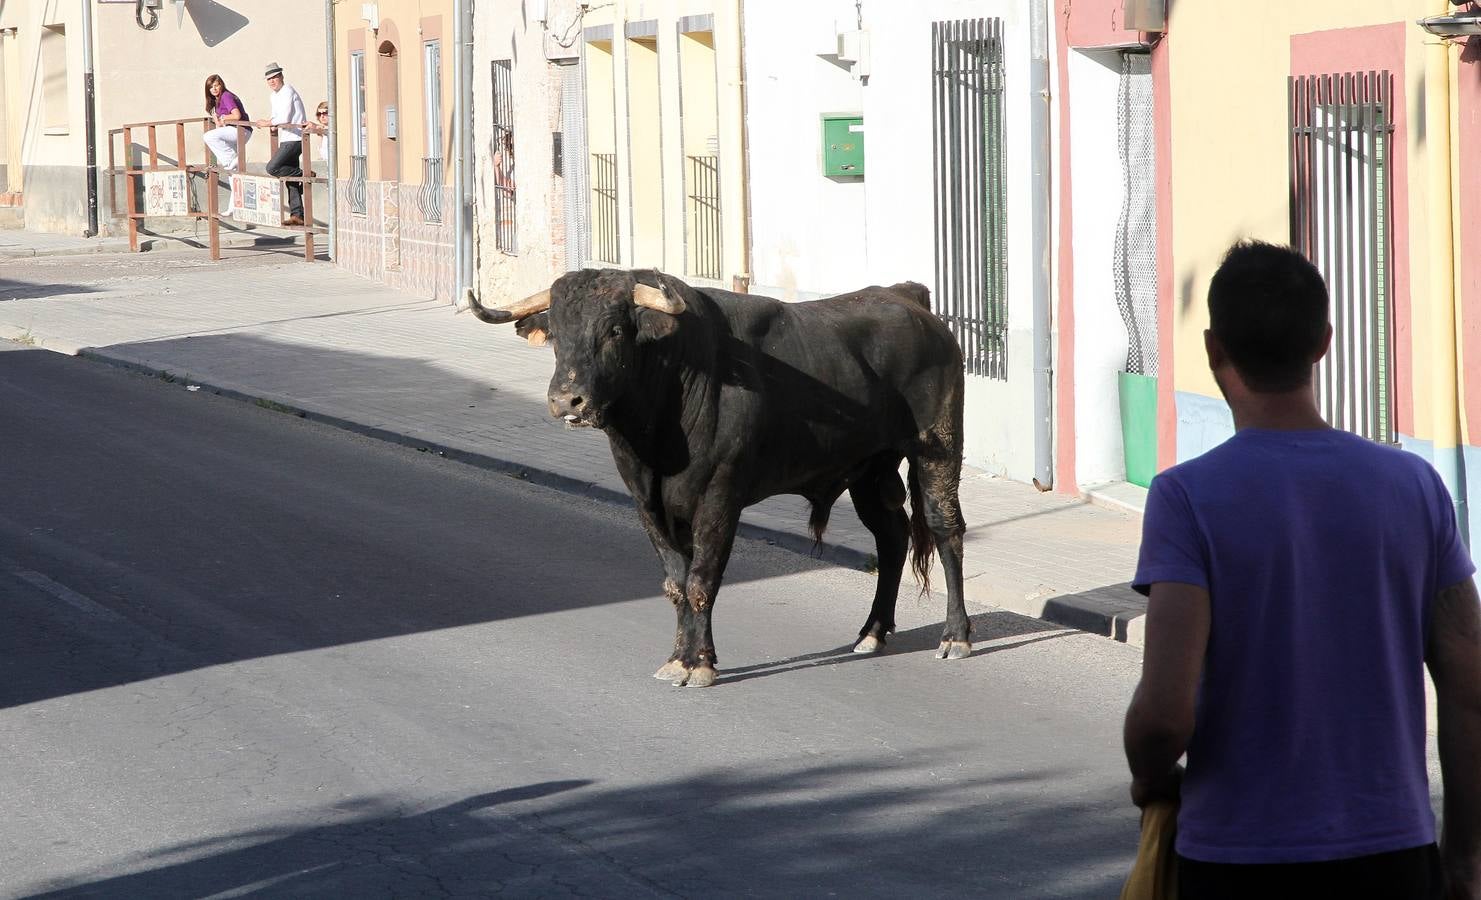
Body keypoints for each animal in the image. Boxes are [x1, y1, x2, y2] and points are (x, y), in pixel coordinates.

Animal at [465, 269, 971, 689]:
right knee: (892, 538)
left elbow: (701, 580)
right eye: (557, 332)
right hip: (870, 468)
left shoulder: (718, 500)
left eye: (614, 330)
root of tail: (906, 297)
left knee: (945, 529)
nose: (567, 400)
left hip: (937, 450)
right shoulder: (648, 504)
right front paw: (678, 659)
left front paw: (701, 665)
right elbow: (676, 582)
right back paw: (872, 633)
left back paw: (955, 635)